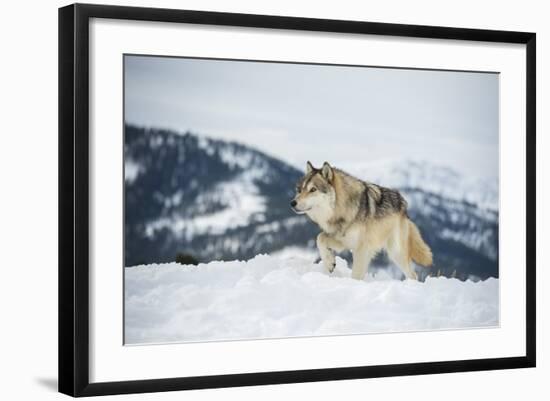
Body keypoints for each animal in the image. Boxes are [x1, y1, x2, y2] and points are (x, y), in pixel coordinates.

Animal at [292, 161, 434, 280]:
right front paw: (329, 263)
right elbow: (320, 238)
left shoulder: (362, 248)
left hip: (396, 252)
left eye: (313, 189)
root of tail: (403, 204)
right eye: (299, 189)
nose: (292, 203)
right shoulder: (343, 241)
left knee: (413, 274)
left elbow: (356, 274)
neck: (343, 209)